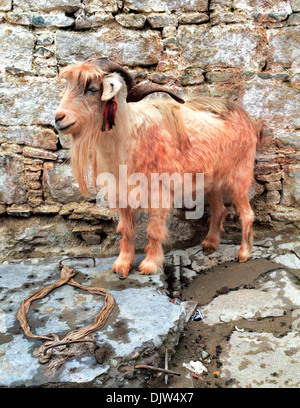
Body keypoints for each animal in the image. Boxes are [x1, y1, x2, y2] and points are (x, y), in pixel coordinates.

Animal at [55, 57, 264, 278]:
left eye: (92, 88)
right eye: (68, 86)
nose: (58, 118)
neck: (130, 138)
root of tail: (250, 121)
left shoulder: (159, 192)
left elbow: (154, 230)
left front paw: (150, 264)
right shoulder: (122, 194)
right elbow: (126, 229)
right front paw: (122, 265)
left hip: (240, 177)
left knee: (247, 214)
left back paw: (244, 253)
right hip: (211, 181)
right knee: (219, 210)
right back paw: (210, 244)